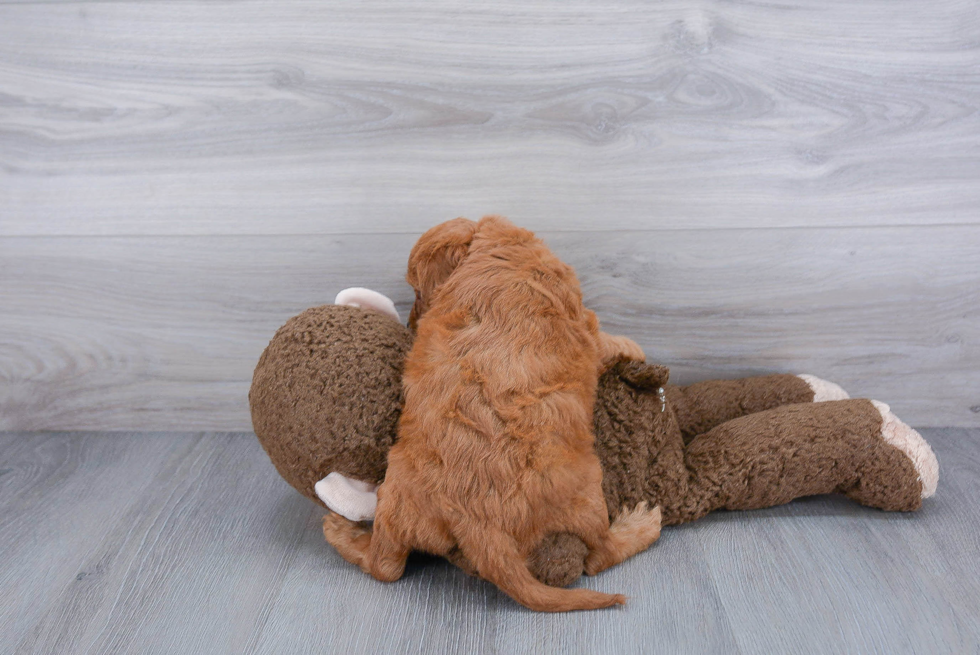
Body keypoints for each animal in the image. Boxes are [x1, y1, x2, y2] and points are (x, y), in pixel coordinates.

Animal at [326, 218, 664, 612]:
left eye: (416, 289)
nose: (410, 326)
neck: (501, 250)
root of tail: (480, 524)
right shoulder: (587, 326)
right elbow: (611, 341)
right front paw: (634, 349)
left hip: (395, 499)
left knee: (384, 565)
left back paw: (341, 531)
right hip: (587, 495)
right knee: (599, 556)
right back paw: (640, 525)